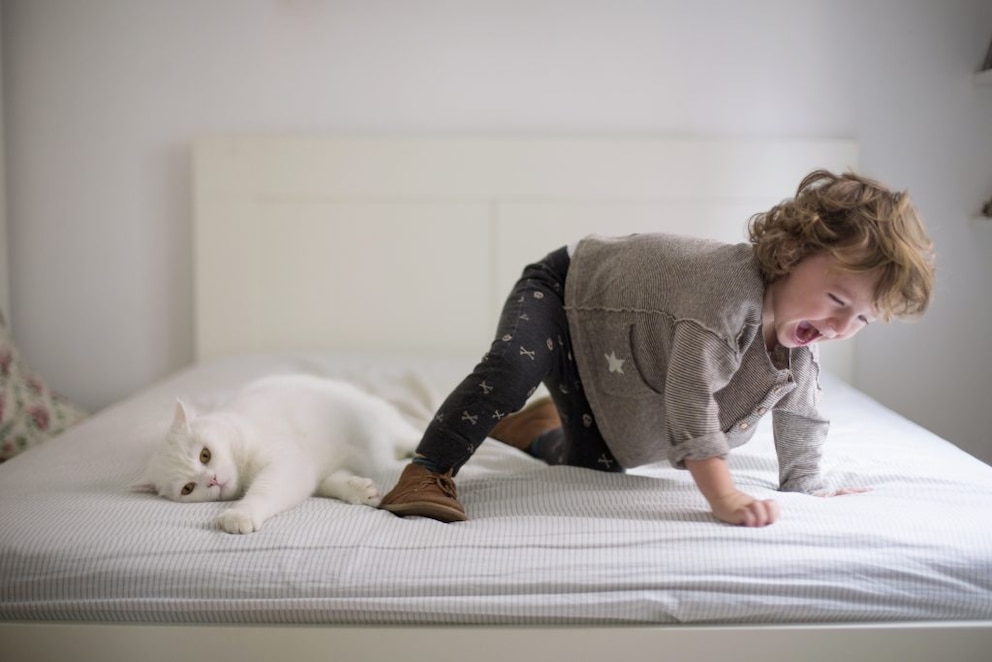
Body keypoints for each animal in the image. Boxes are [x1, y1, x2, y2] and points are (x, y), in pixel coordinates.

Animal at [134, 376, 420, 536]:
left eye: (205, 455)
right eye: (188, 488)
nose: (212, 479)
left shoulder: (285, 465)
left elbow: (263, 491)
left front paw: (240, 514)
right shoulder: (309, 471)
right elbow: (334, 482)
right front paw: (360, 490)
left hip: (389, 426)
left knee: (412, 438)